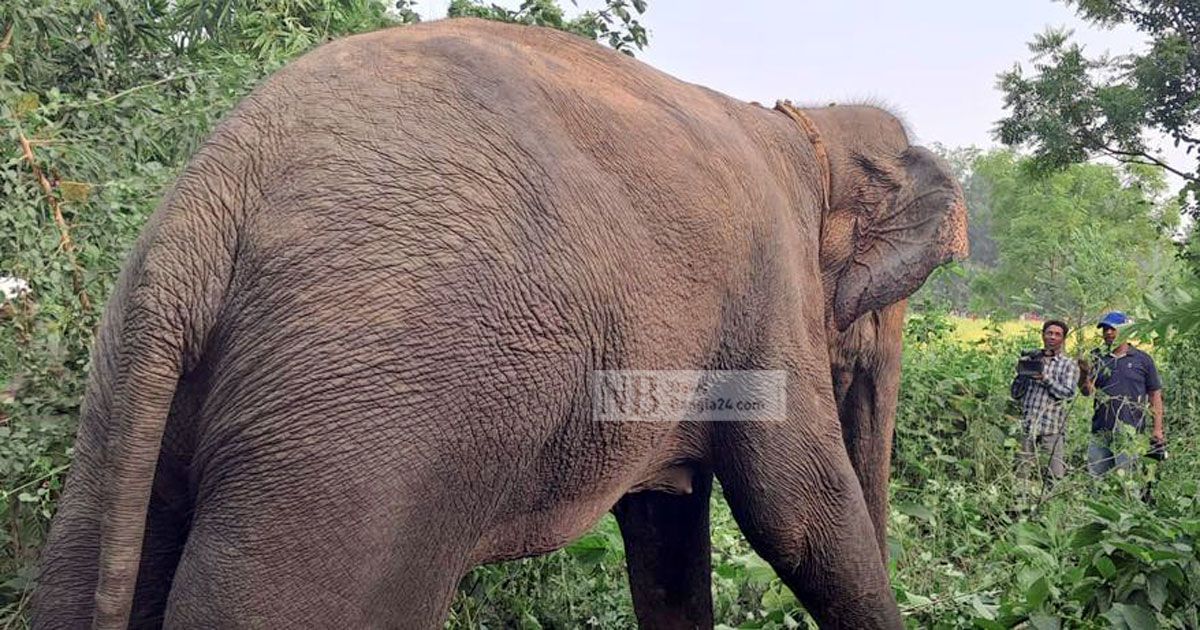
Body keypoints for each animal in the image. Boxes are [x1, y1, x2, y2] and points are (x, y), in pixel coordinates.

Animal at [30, 17, 964, 624]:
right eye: (890, 305)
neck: (807, 129)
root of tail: (211, 200)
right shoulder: (771, 287)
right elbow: (795, 512)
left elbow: (665, 526)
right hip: (350, 447)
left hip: (125, 400)